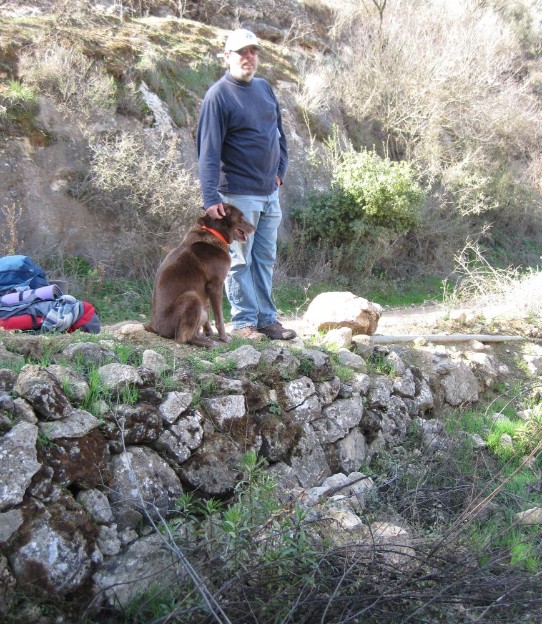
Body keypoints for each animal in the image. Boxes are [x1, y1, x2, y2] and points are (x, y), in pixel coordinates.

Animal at [144, 207, 255, 348]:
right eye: (241, 216)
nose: (255, 228)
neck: (214, 233)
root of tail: (154, 328)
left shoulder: (205, 288)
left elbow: (207, 312)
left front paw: (208, 331)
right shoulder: (215, 285)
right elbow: (219, 318)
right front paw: (224, 338)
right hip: (192, 297)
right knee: (182, 337)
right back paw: (208, 343)